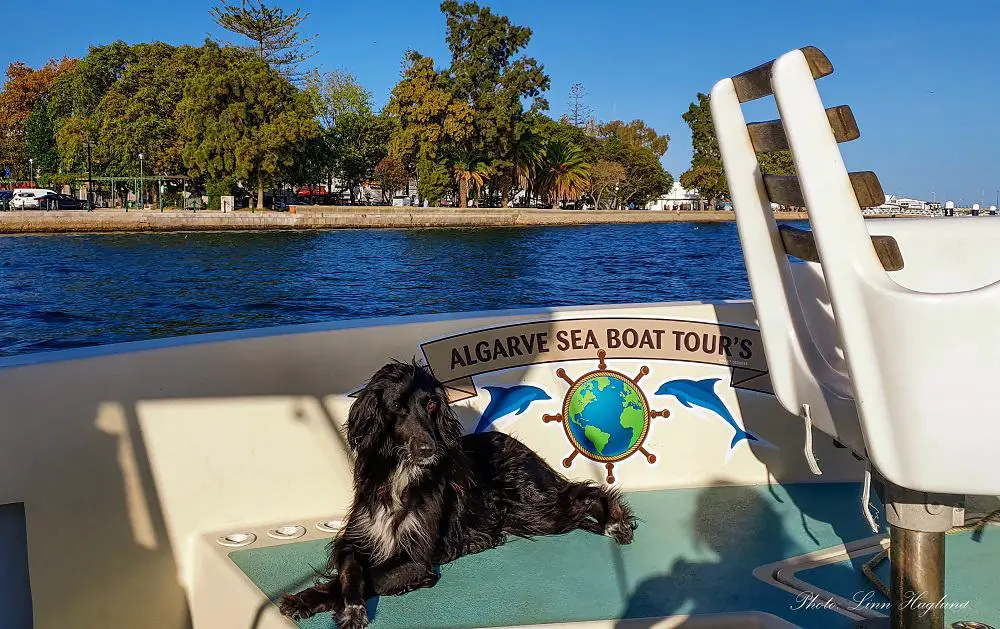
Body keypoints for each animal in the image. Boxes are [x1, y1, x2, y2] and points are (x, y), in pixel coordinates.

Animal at [278, 360, 636, 624]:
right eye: (397, 406)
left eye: (432, 405)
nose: (428, 448)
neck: (402, 473)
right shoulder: (356, 538)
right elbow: (350, 571)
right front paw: (306, 599)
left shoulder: (417, 558)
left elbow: (369, 576)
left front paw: (349, 608)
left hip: (534, 507)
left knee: (588, 492)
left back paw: (616, 523)